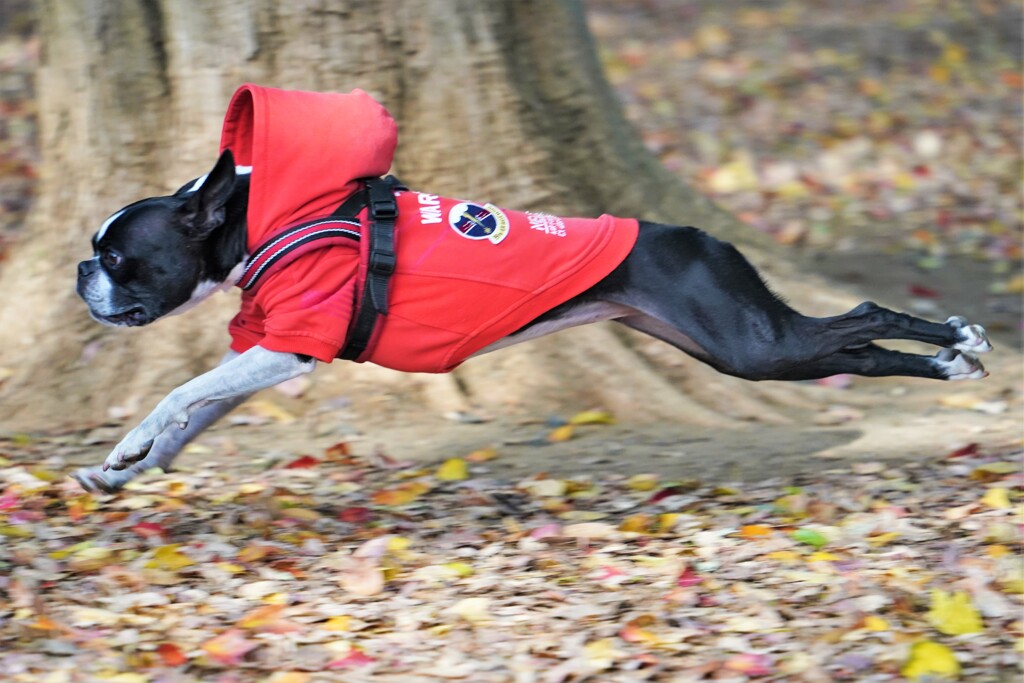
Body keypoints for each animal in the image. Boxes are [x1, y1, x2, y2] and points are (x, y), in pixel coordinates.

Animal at [74, 152, 991, 491]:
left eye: (118, 257)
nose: (82, 272)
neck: (262, 224)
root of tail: (698, 233)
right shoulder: (269, 353)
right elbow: (195, 413)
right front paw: (125, 467)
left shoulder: (291, 351)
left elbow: (179, 391)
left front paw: (131, 443)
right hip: (736, 344)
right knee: (860, 350)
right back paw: (952, 362)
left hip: (750, 342)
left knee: (863, 316)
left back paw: (962, 342)